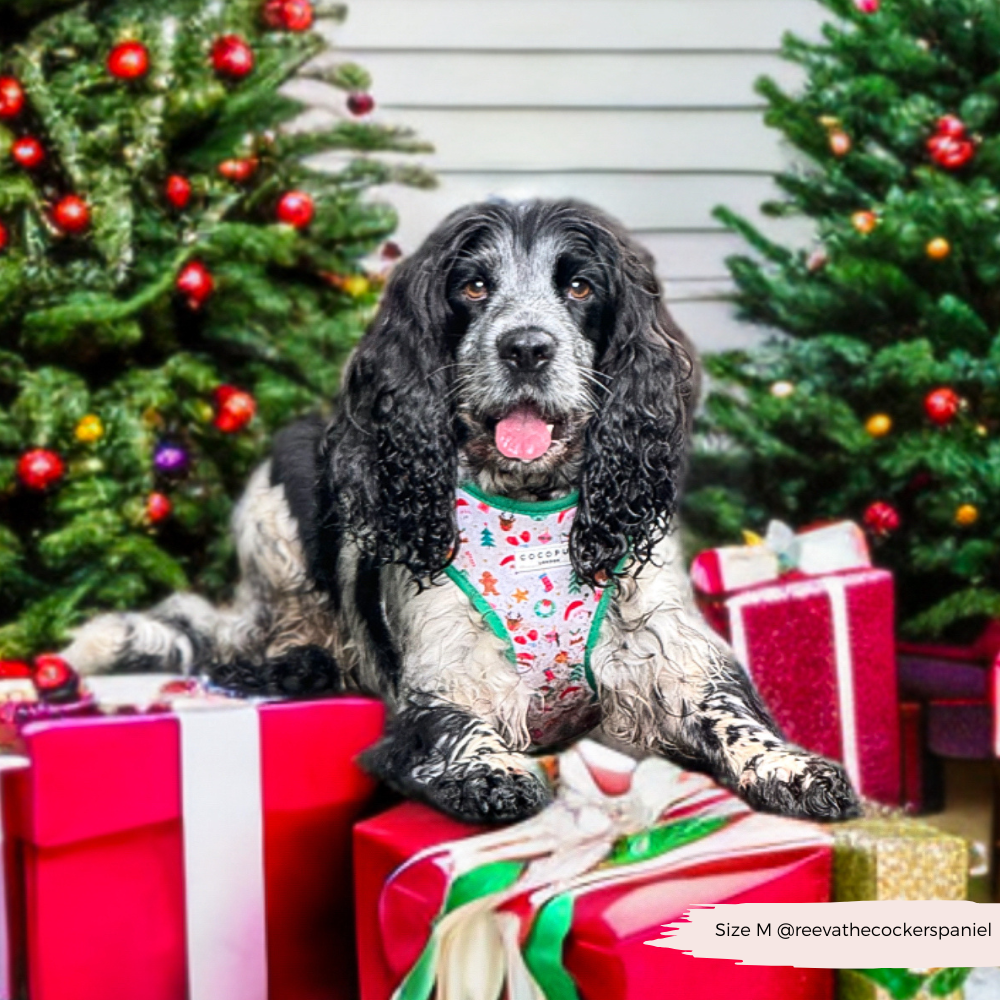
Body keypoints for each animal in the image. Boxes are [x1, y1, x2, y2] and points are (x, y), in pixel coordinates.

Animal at [62, 199, 860, 824]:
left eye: (580, 285)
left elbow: (733, 714)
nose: (527, 348)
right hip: (276, 541)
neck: (531, 503)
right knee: (229, 633)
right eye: (474, 286)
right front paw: (492, 772)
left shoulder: (671, 655)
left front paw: (795, 767)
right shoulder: (442, 679)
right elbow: (454, 729)